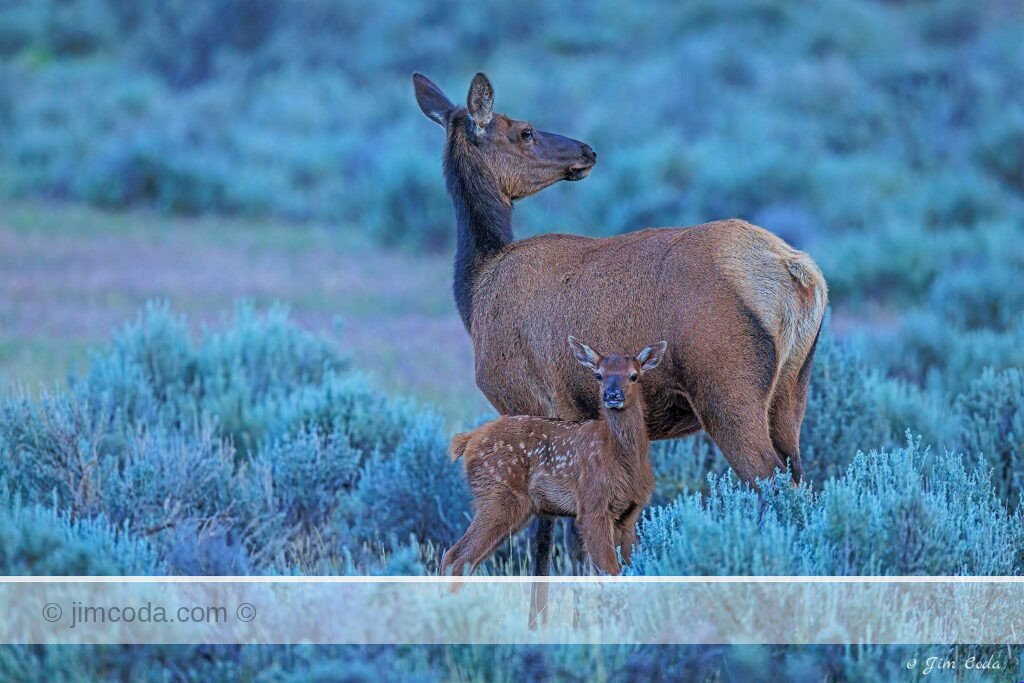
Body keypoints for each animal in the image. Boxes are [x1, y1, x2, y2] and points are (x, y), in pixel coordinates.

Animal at [442, 337, 667, 579]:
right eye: (598, 375)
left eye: (634, 375)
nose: (613, 395)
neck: (621, 459)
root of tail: (469, 439)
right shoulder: (592, 504)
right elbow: (608, 571)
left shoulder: (630, 513)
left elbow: (627, 568)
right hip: (497, 495)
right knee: (456, 557)